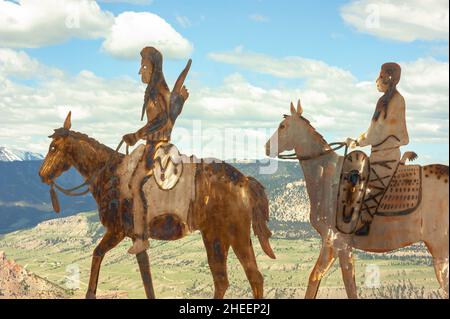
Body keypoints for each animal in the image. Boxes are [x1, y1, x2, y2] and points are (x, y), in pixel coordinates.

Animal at [38, 112, 276, 300]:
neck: (111, 174)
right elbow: (145, 279)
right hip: (216, 237)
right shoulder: (134, 238)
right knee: (222, 280)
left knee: (253, 277)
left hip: (236, 233)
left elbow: (98, 254)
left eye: (53, 147)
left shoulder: (116, 232)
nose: (42, 174)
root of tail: (244, 180)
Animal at [266, 100, 448, 300]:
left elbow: (322, 278)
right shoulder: (340, 246)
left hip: (441, 253)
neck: (327, 177)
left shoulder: (335, 241)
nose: (267, 147)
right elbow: (340, 282)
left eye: (282, 126)